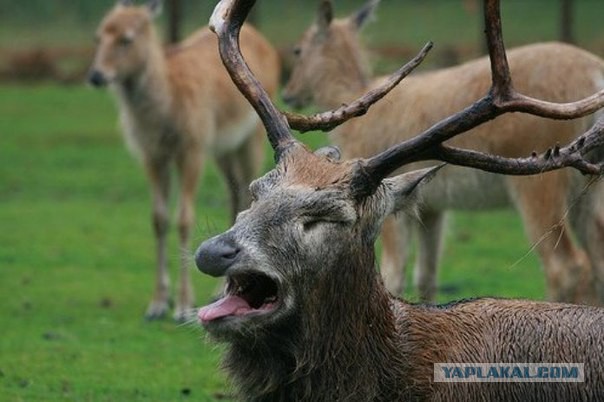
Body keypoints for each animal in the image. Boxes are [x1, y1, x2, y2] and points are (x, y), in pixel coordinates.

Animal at [87, 0, 280, 320]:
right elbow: (159, 218)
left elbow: (184, 218)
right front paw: (156, 304)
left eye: (127, 39)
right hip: (223, 149)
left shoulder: (193, 146)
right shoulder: (152, 153)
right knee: (235, 192)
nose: (96, 75)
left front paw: (182, 305)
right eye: (98, 36)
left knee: (247, 191)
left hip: (250, 137)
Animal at [280, 0, 604, 304]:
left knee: (567, 266)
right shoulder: (432, 206)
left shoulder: (381, 189)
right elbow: (426, 275)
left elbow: (393, 274)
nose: (288, 94)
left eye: (297, 50)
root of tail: (595, 74)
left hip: (541, 174)